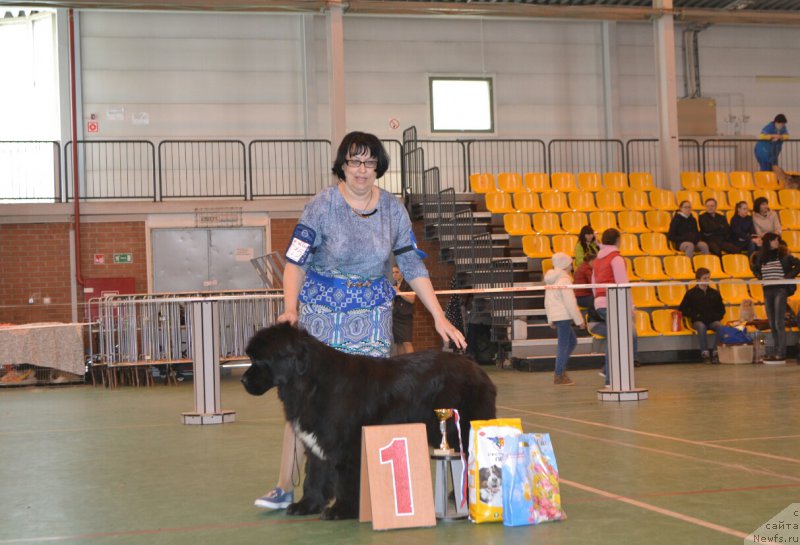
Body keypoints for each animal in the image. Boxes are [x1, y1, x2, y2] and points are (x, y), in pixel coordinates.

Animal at [241, 320, 496, 520]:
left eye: (260, 360)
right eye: (252, 358)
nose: (243, 380)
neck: (310, 382)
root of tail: (477, 368)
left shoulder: (347, 445)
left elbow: (345, 479)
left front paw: (342, 510)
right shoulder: (317, 441)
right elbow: (315, 475)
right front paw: (307, 505)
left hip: (461, 427)